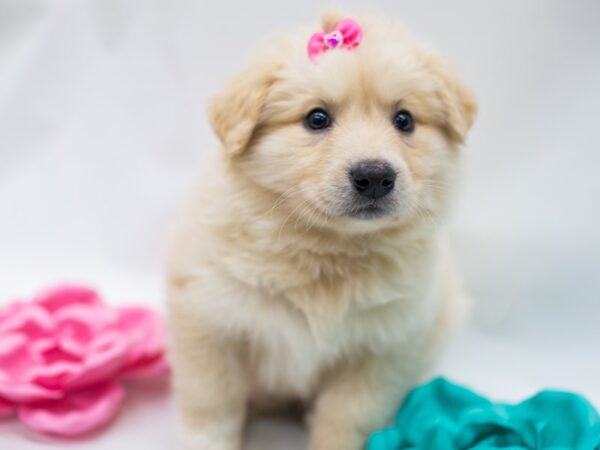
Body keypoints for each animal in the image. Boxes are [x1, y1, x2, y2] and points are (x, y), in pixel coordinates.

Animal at [166, 10, 476, 450]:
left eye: (404, 120)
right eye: (317, 119)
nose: (375, 176)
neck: (327, 249)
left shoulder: (383, 348)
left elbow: (345, 417)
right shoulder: (208, 321)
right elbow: (212, 403)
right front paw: (205, 442)